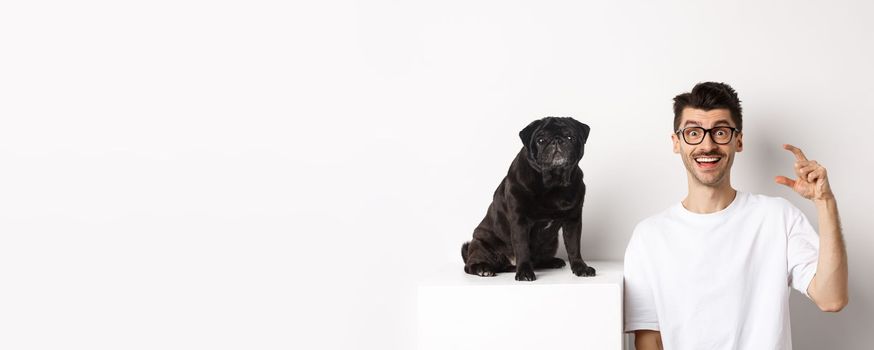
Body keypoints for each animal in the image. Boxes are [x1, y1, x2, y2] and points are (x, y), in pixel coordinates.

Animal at [460, 116, 588, 280]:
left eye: (570, 137)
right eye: (540, 140)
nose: (557, 140)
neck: (553, 182)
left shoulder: (573, 221)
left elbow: (574, 247)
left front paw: (581, 267)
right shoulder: (520, 221)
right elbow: (522, 248)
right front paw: (525, 272)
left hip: (552, 243)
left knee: (539, 260)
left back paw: (552, 261)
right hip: (481, 244)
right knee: (470, 265)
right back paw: (483, 269)